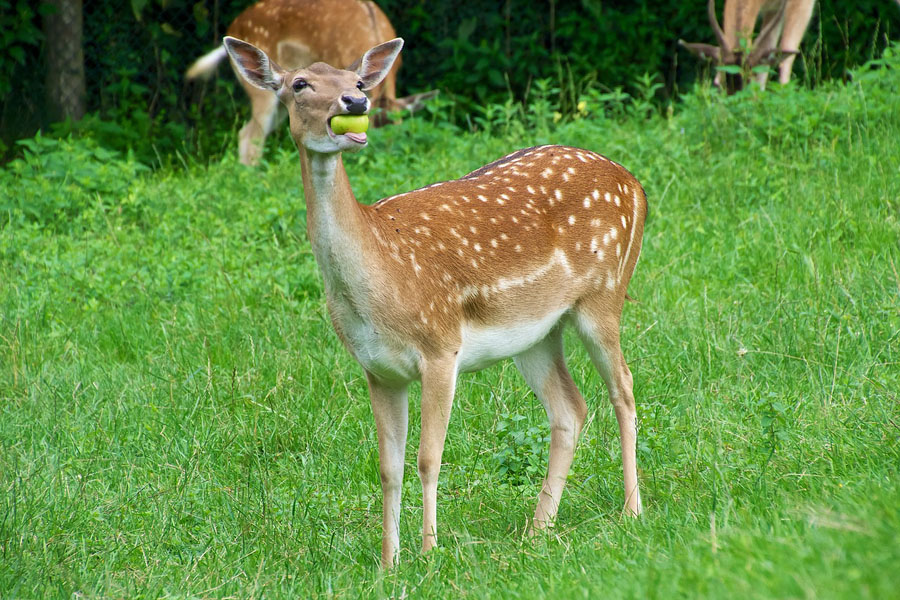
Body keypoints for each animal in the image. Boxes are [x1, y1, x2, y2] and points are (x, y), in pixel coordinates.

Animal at [222, 33, 648, 568]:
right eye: (299, 83)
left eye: (358, 80)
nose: (355, 103)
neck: (379, 283)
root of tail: (636, 186)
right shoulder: (377, 369)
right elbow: (389, 467)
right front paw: (388, 562)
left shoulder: (441, 346)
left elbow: (429, 458)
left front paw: (428, 553)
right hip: (535, 334)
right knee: (570, 409)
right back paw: (537, 530)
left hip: (604, 294)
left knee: (624, 389)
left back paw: (631, 511)